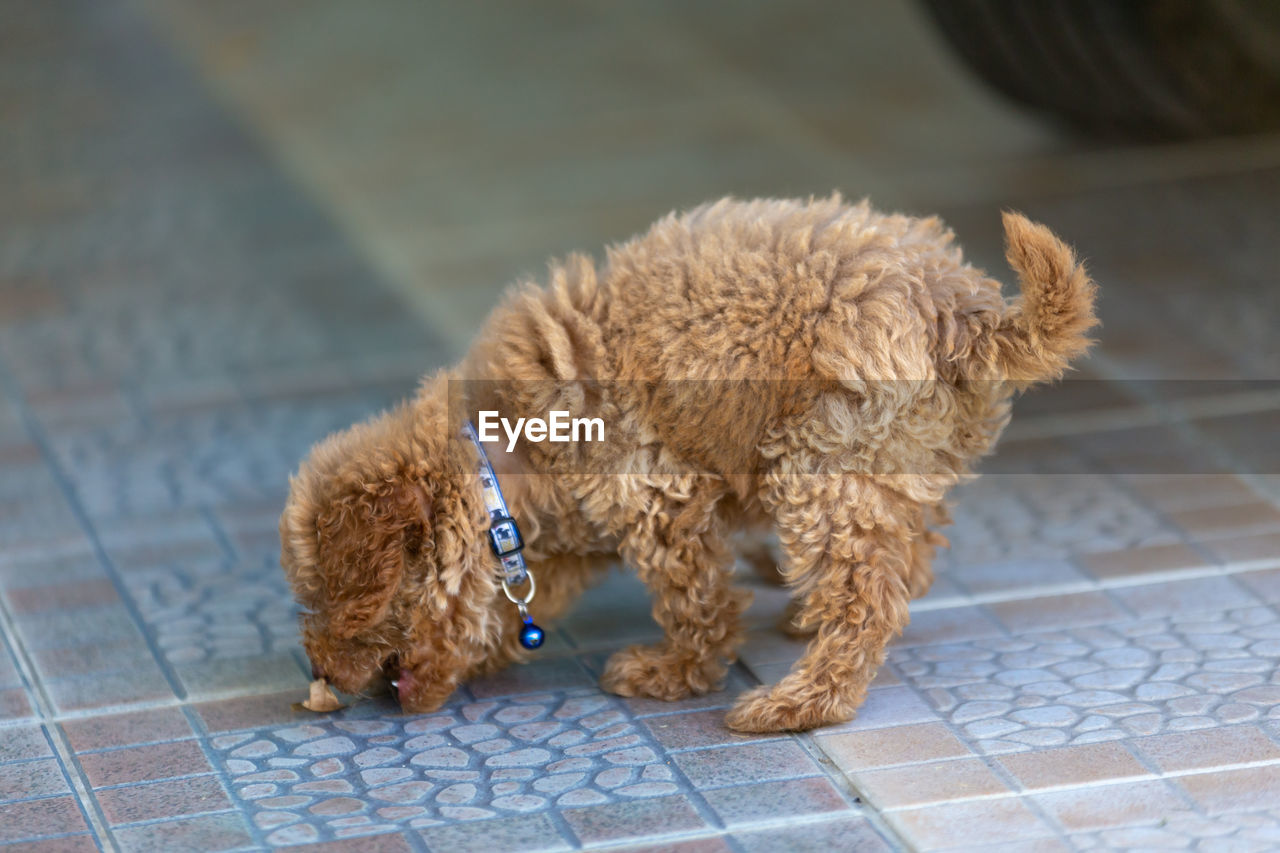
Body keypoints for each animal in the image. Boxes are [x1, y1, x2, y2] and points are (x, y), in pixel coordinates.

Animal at [282, 194, 1100, 732]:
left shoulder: (653, 492)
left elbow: (694, 600)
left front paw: (674, 673)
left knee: (869, 600)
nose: (315, 671)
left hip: (819, 463)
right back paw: (808, 616)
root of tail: (966, 308)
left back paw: (796, 703)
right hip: (891, 453)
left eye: (343, 605)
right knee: (910, 554)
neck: (502, 454)